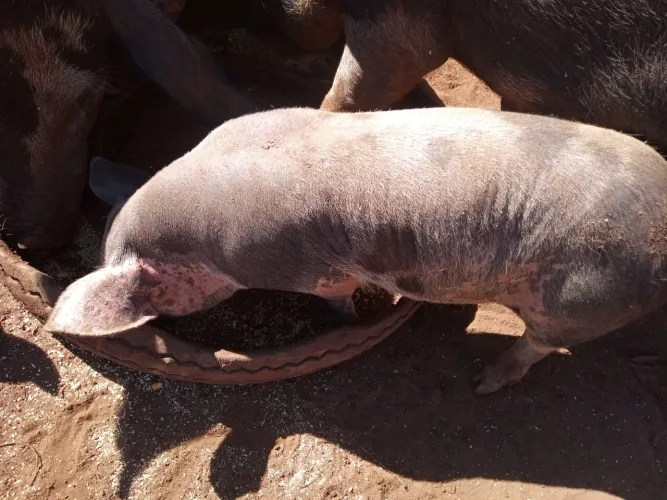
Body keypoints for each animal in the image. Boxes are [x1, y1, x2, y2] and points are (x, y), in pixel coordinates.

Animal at [44, 106, 667, 394]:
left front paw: (348, 320)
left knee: (541, 344)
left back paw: (483, 381)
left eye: (156, 299)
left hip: (585, 296)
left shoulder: (302, 267)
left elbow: (338, 297)